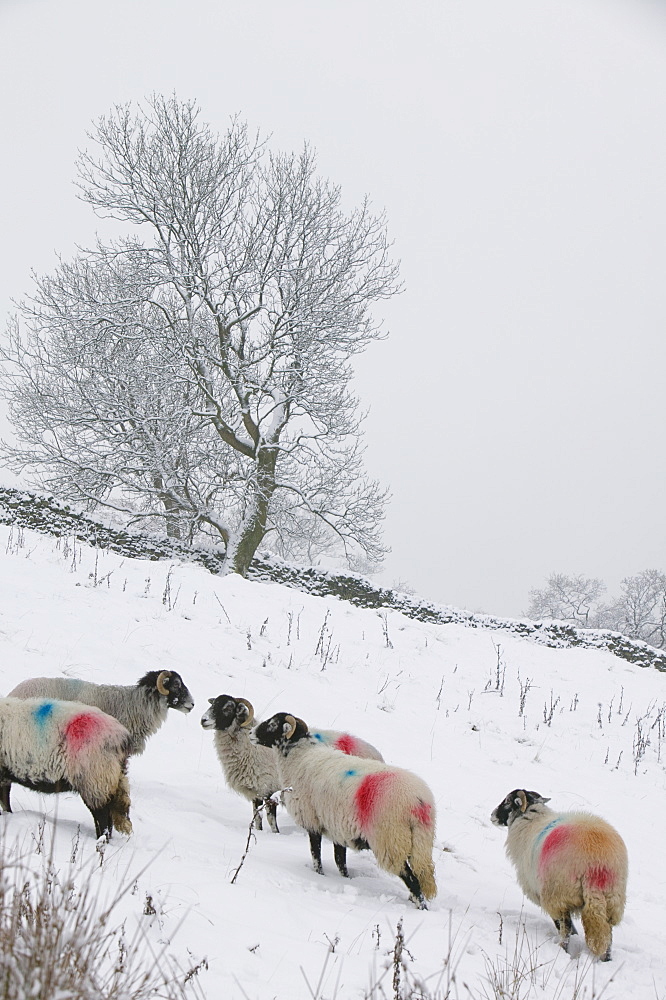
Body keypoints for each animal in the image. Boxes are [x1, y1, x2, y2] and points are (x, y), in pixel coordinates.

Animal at [0, 696, 134, 836]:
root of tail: (122, 737)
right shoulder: (4, 778)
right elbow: (5, 802)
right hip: (110, 779)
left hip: (95, 779)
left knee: (102, 818)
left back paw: (100, 840)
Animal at [198, 692, 384, 832]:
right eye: (213, 704)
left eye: (228, 707)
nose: (203, 720)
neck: (248, 747)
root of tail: (376, 754)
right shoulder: (256, 791)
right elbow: (257, 818)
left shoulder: (269, 790)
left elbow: (271, 820)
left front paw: (275, 834)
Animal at [253, 712, 436, 908]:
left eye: (272, 724)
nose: (251, 732)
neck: (299, 757)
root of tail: (419, 803)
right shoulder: (338, 829)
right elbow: (340, 861)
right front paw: (345, 880)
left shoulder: (312, 821)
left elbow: (316, 855)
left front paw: (319, 875)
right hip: (420, 842)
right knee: (420, 874)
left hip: (390, 841)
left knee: (412, 880)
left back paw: (420, 907)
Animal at [488, 788, 628, 960]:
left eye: (507, 801)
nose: (492, 815)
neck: (530, 819)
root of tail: (596, 865)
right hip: (613, 899)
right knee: (607, 936)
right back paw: (606, 959)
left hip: (558, 893)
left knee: (565, 928)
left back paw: (562, 949)